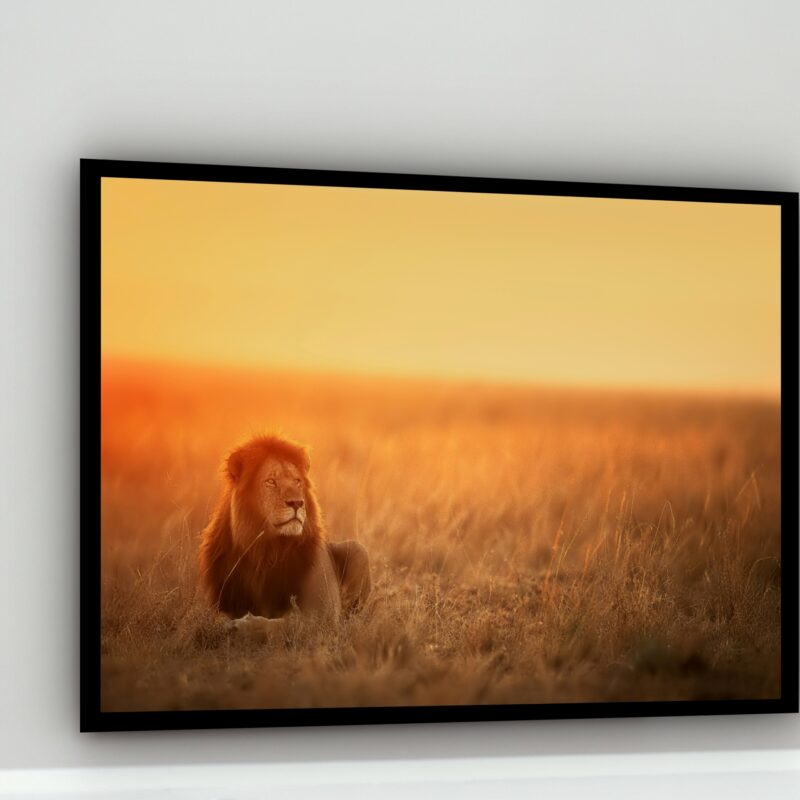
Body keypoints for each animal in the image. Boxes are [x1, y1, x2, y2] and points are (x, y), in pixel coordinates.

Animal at [198, 434, 371, 638]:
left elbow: (287, 624)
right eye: (271, 481)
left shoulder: (322, 616)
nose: (297, 502)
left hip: (358, 550)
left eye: (297, 481)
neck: (265, 550)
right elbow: (212, 619)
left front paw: (244, 626)